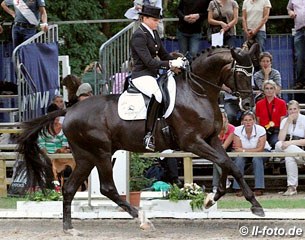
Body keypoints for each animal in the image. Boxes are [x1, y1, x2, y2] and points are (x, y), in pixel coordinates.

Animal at [17, 44, 264, 234]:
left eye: (253, 72)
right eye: (241, 74)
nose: (248, 104)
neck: (197, 91)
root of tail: (69, 110)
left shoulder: (211, 139)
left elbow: (230, 165)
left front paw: (233, 201)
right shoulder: (192, 142)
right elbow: (223, 162)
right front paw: (216, 198)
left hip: (86, 156)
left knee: (69, 188)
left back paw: (69, 228)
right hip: (101, 153)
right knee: (107, 188)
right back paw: (143, 219)